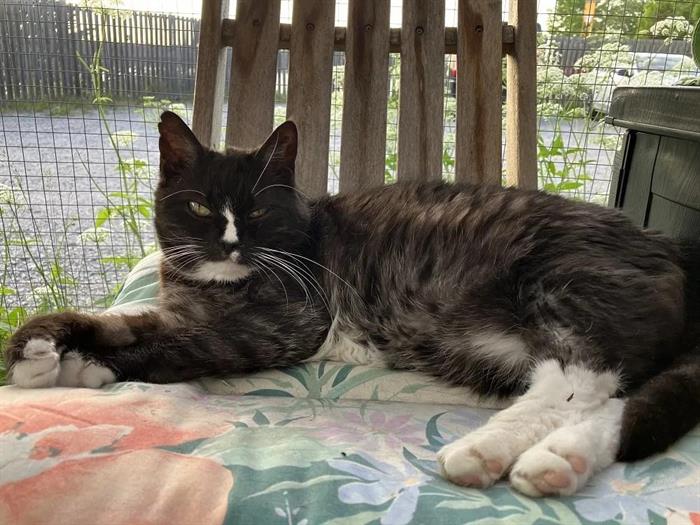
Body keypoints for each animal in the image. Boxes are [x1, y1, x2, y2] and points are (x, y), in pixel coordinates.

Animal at [4, 111, 699, 497]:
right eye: (199, 205)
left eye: (258, 210)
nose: (229, 242)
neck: (212, 286)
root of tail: (671, 246)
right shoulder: (181, 307)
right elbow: (123, 323)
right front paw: (44, 349)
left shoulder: (286, 322)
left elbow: (184, 347)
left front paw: (81, 365)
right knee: (618, 399)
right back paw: (560, 462)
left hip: (566, 284)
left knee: (580, 382)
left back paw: (488, 453)